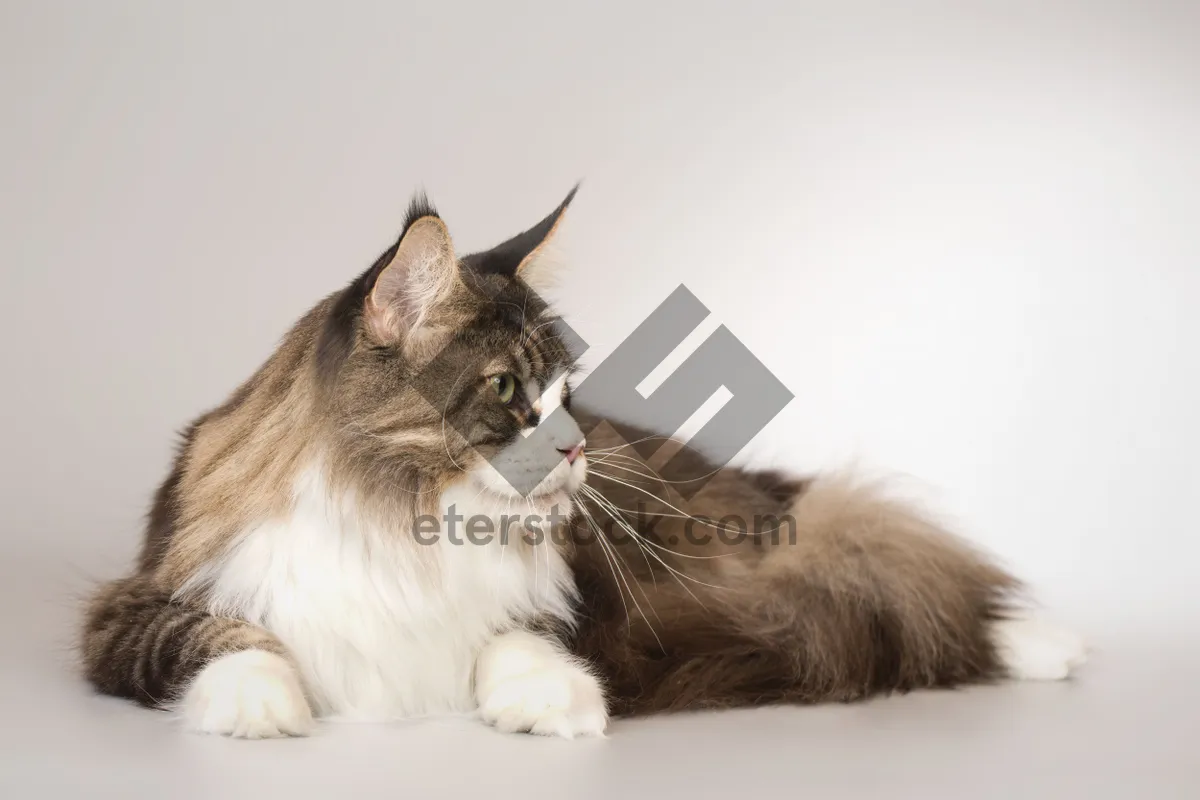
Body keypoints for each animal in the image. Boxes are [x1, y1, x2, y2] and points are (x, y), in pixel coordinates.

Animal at [77, 189, 1089, 738]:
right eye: (506, 389)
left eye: (566, 391)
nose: (575, 446)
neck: (406, 523)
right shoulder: (133, 609)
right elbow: (235, 640)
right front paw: (260, 708)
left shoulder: (577, 598)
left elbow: (518, 639)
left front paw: (555, 702)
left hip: (718, 536)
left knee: (886, 570)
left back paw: (1045, 641)